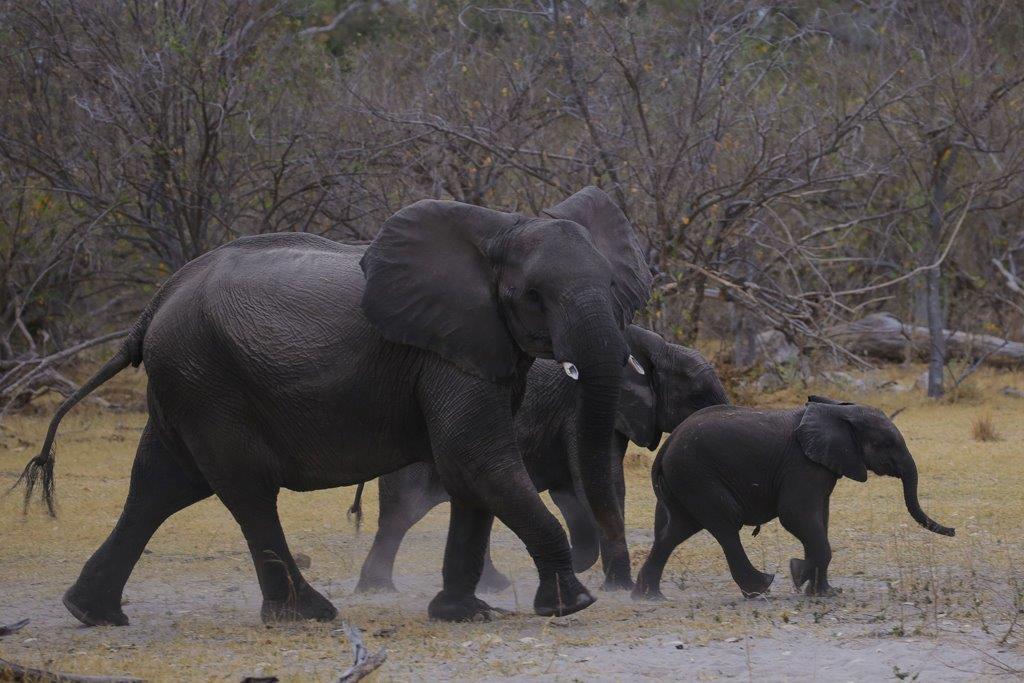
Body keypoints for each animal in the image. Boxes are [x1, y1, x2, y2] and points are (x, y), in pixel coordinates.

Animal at [16, 185, 651, 626]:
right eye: (533, 297)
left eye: (612, 287)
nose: (616, 583)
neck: (499, 229)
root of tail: (153, 304)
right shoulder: (443, 352)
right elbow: (476, 458)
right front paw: (572, 606)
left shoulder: (483, 349)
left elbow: (469, 471)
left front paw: (463, 614)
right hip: (207, 381)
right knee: (245, 491)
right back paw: (309, 615)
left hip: (185, 384)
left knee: (159, 486)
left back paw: (90, 613)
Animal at [352, 323, 729, 593]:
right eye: (697, 396)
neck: (657, 346)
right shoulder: (582, 409)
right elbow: (602, 483)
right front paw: (618, 587)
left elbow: (573, 492)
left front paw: (578, 566)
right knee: (402, 513)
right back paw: (379, 591)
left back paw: (492, 586)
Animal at [626, 395, 954, 598]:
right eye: (886, 444)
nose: (953, 530)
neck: (838, 410)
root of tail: (665, 448)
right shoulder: (802, 465)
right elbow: (796, 515)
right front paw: (798, 573)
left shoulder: (822, 467)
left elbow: (819, 519)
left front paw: (825, 593)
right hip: (696, 474)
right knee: (725, 524)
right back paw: (760, 588)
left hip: (685, 480)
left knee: (677, 530)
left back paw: (649, 596)